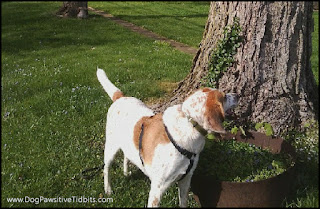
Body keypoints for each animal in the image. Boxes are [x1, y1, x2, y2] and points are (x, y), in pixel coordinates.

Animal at [97, 68, 238, 207]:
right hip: (110, 149)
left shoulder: (185, 181)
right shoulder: (157, 190)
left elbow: (183, 202)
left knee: (127, 156)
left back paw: (126, 173)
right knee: (106, 168)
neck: (189, 123)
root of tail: (121, 97)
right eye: (224, 97)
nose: (237, 95)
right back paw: (108, 189)